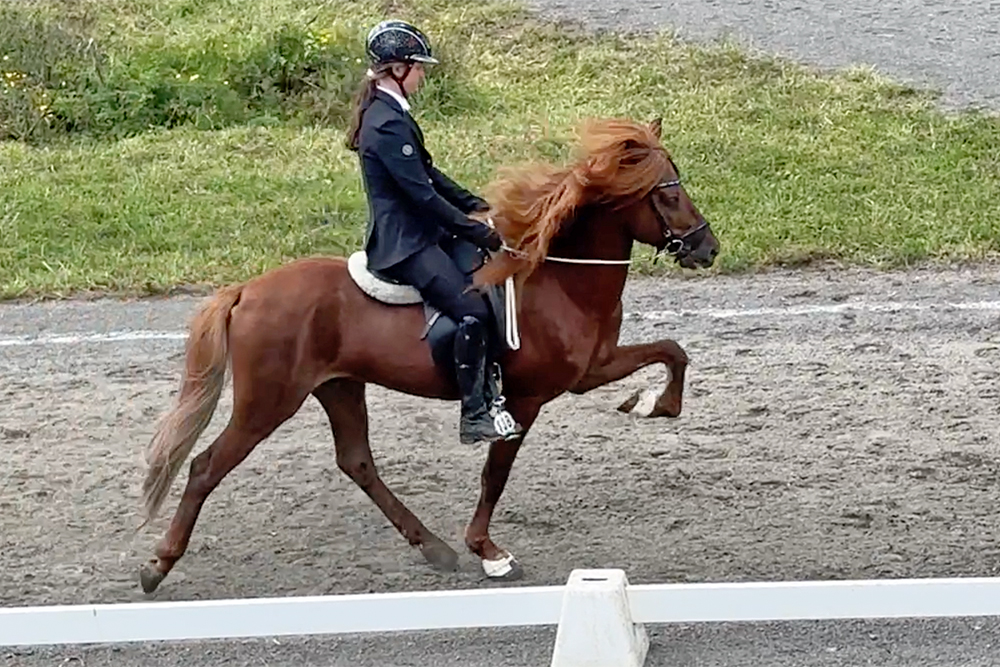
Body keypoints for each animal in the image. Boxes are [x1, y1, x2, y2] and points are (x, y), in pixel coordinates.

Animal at [139, 117, 720, 592]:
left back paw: (433, 548)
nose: (707, 248)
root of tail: (246, 290)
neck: (559, 278)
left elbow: (673, 350)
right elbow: (494, 475)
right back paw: (158, 566)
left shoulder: (591, 368)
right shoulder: (527, 399)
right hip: (268, 401)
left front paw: (652, 404)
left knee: (357, 461)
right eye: (668, 195)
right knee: (206, 467)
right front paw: (489, 553)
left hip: (338, 386)